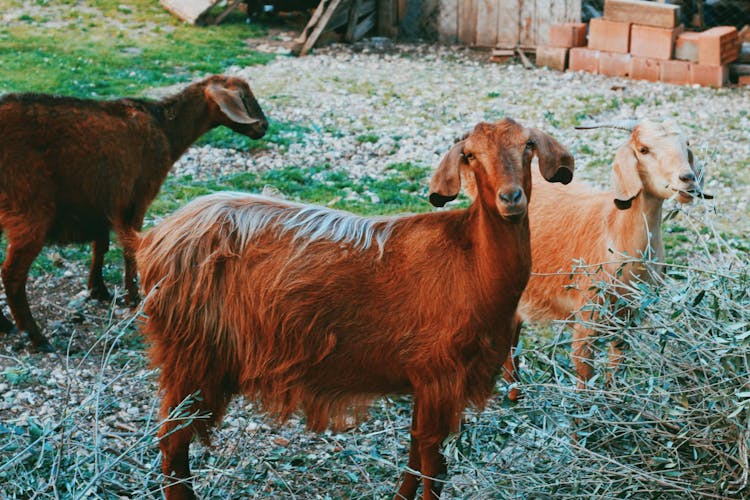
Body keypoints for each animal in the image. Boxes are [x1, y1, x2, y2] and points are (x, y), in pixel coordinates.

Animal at [0, 74, 268, 352]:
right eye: (244, 96)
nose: (264, 127)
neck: (165, 128)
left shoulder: (104, 201)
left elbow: (101, 245)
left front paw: (99, 290)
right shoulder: (136, 198)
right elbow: (131, 250)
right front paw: (134, 297)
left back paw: (5, 325)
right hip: (29, 209)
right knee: (12, 275)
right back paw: (36, 336)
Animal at [138, 118, 576, 500]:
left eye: (528, 146)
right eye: (470, 155)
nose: (511, 198)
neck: (471, 261)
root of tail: (153, 241)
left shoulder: (426, 382)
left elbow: (416, 452)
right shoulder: (437, 373)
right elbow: (433, 465)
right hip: (190, 354)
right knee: (172, 440)